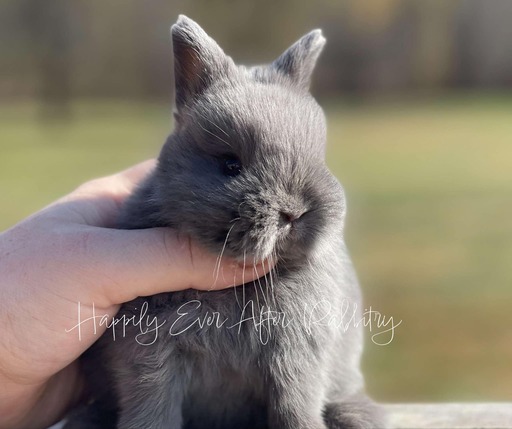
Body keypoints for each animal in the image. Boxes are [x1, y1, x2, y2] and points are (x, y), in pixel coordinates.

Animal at [63, 15, 384, 428]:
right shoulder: (148, 352)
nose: (295, 213)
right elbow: (152, 406)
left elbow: (295, 404)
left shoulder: (296, 352)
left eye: (319, 157)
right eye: (230, 164)